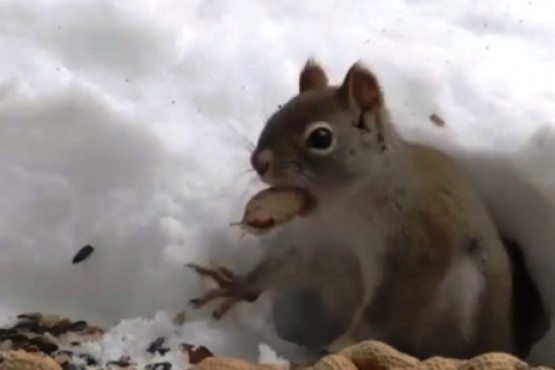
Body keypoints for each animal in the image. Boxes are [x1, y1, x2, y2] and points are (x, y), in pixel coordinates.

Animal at [190, 59, 516, 360]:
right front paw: (239, 285)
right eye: (275, 115)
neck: (345, 208)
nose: (259, 162)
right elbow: (286, 266)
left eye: (321, 138)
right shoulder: (326, 247)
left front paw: (343, 344)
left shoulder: (414, 249)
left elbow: (387, 308)